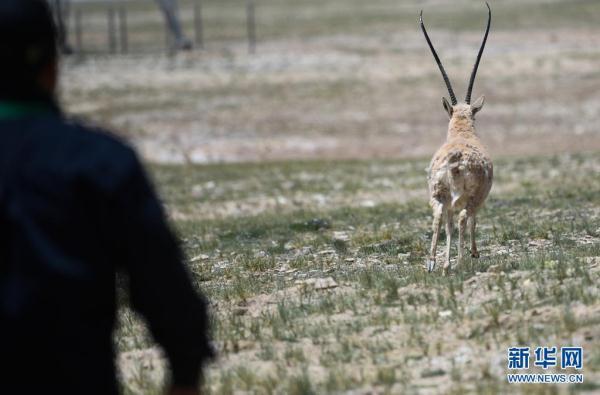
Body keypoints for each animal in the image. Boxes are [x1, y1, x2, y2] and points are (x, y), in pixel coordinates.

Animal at [420, 3, 494, 276]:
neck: (462, 133)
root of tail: (456, 158)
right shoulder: (479, 199)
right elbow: (472, 222)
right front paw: (473, 253)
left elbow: (448, 226)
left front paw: (445, 262)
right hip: (470, 198)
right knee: (464, 218)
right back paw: (461, 261)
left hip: (438, 195)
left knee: (440, 218)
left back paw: (434, 263)